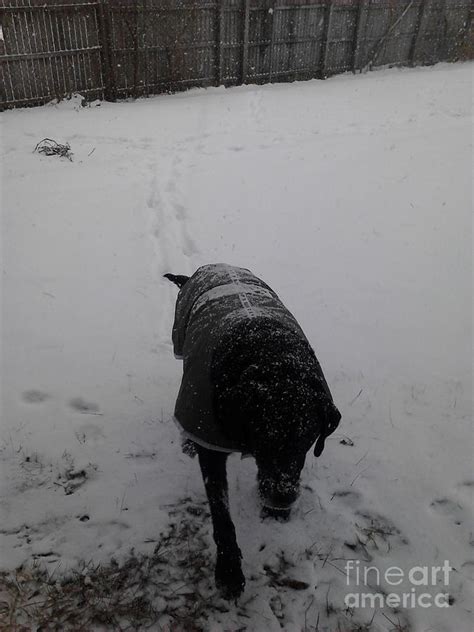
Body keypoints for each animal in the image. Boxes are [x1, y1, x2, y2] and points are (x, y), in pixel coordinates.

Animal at [164, 264, 340, 600]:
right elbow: (221, 515)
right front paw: (229, 571)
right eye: (264, 438)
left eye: (308, 440)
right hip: (181, 345)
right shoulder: (210, 441)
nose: (282, 498)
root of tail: (209, 266)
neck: (270, 354)